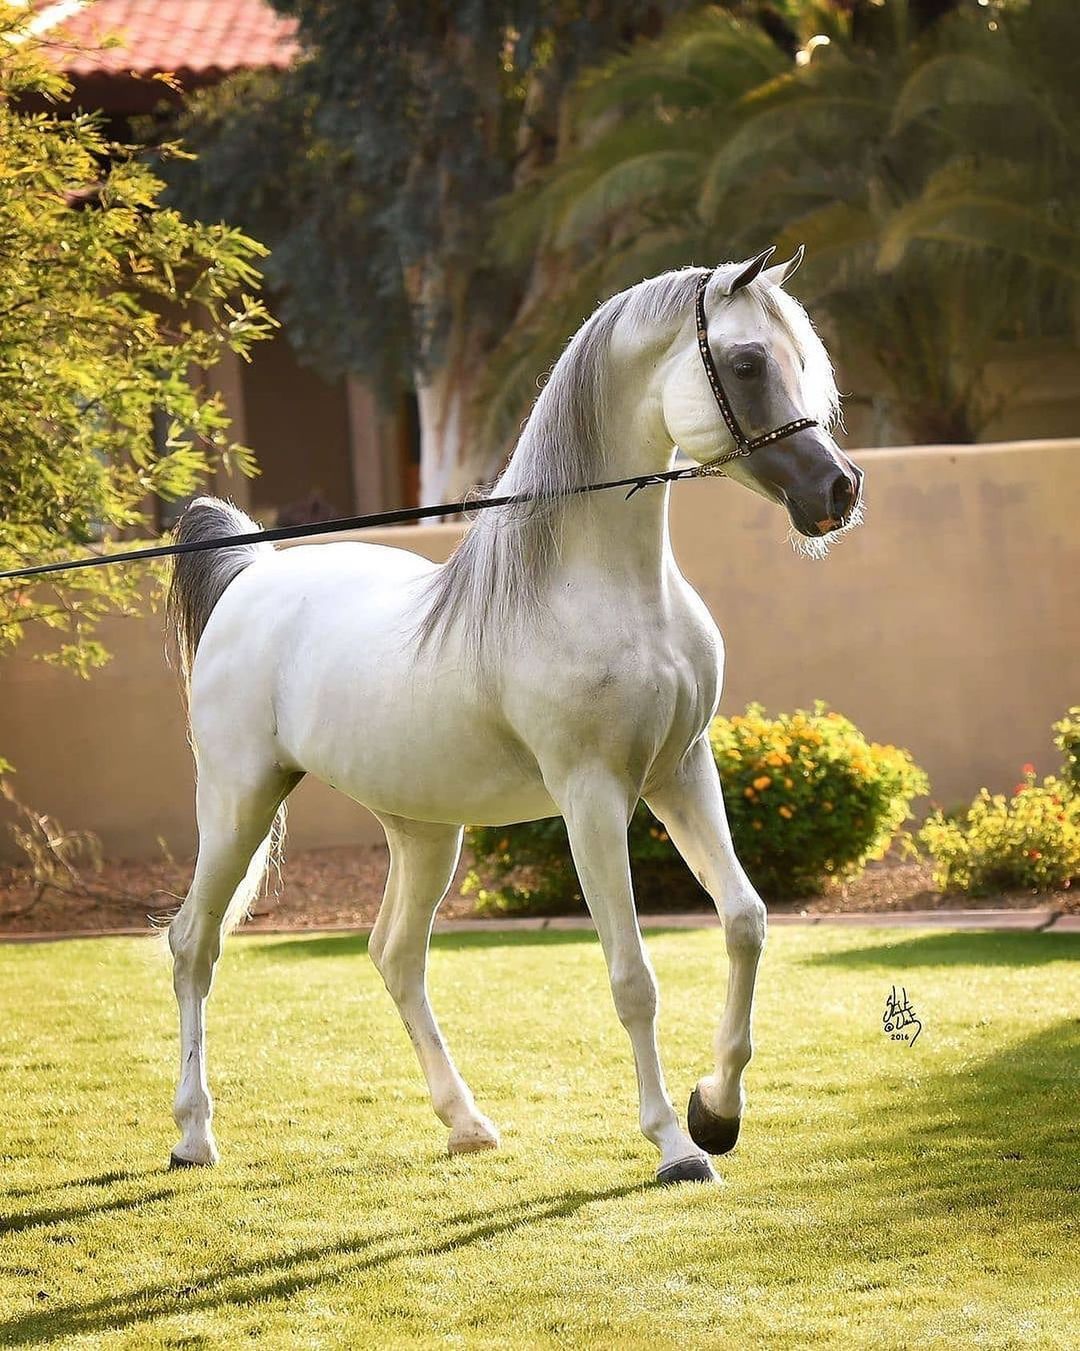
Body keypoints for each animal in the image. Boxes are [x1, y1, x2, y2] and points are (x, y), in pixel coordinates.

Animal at [164, 246, 863, 1186]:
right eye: (749, 362)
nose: (838, 488)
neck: (599, 587)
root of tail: (252, 574)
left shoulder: (681, 770)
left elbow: (746, 920)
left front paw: (716, 1111)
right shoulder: (594, 796)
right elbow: (632, 974)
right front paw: (675, 1146)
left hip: (424, 830)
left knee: (395, 954)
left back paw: (466, 1123)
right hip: (239, 803)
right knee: (193, 944)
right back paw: (194, 1134)